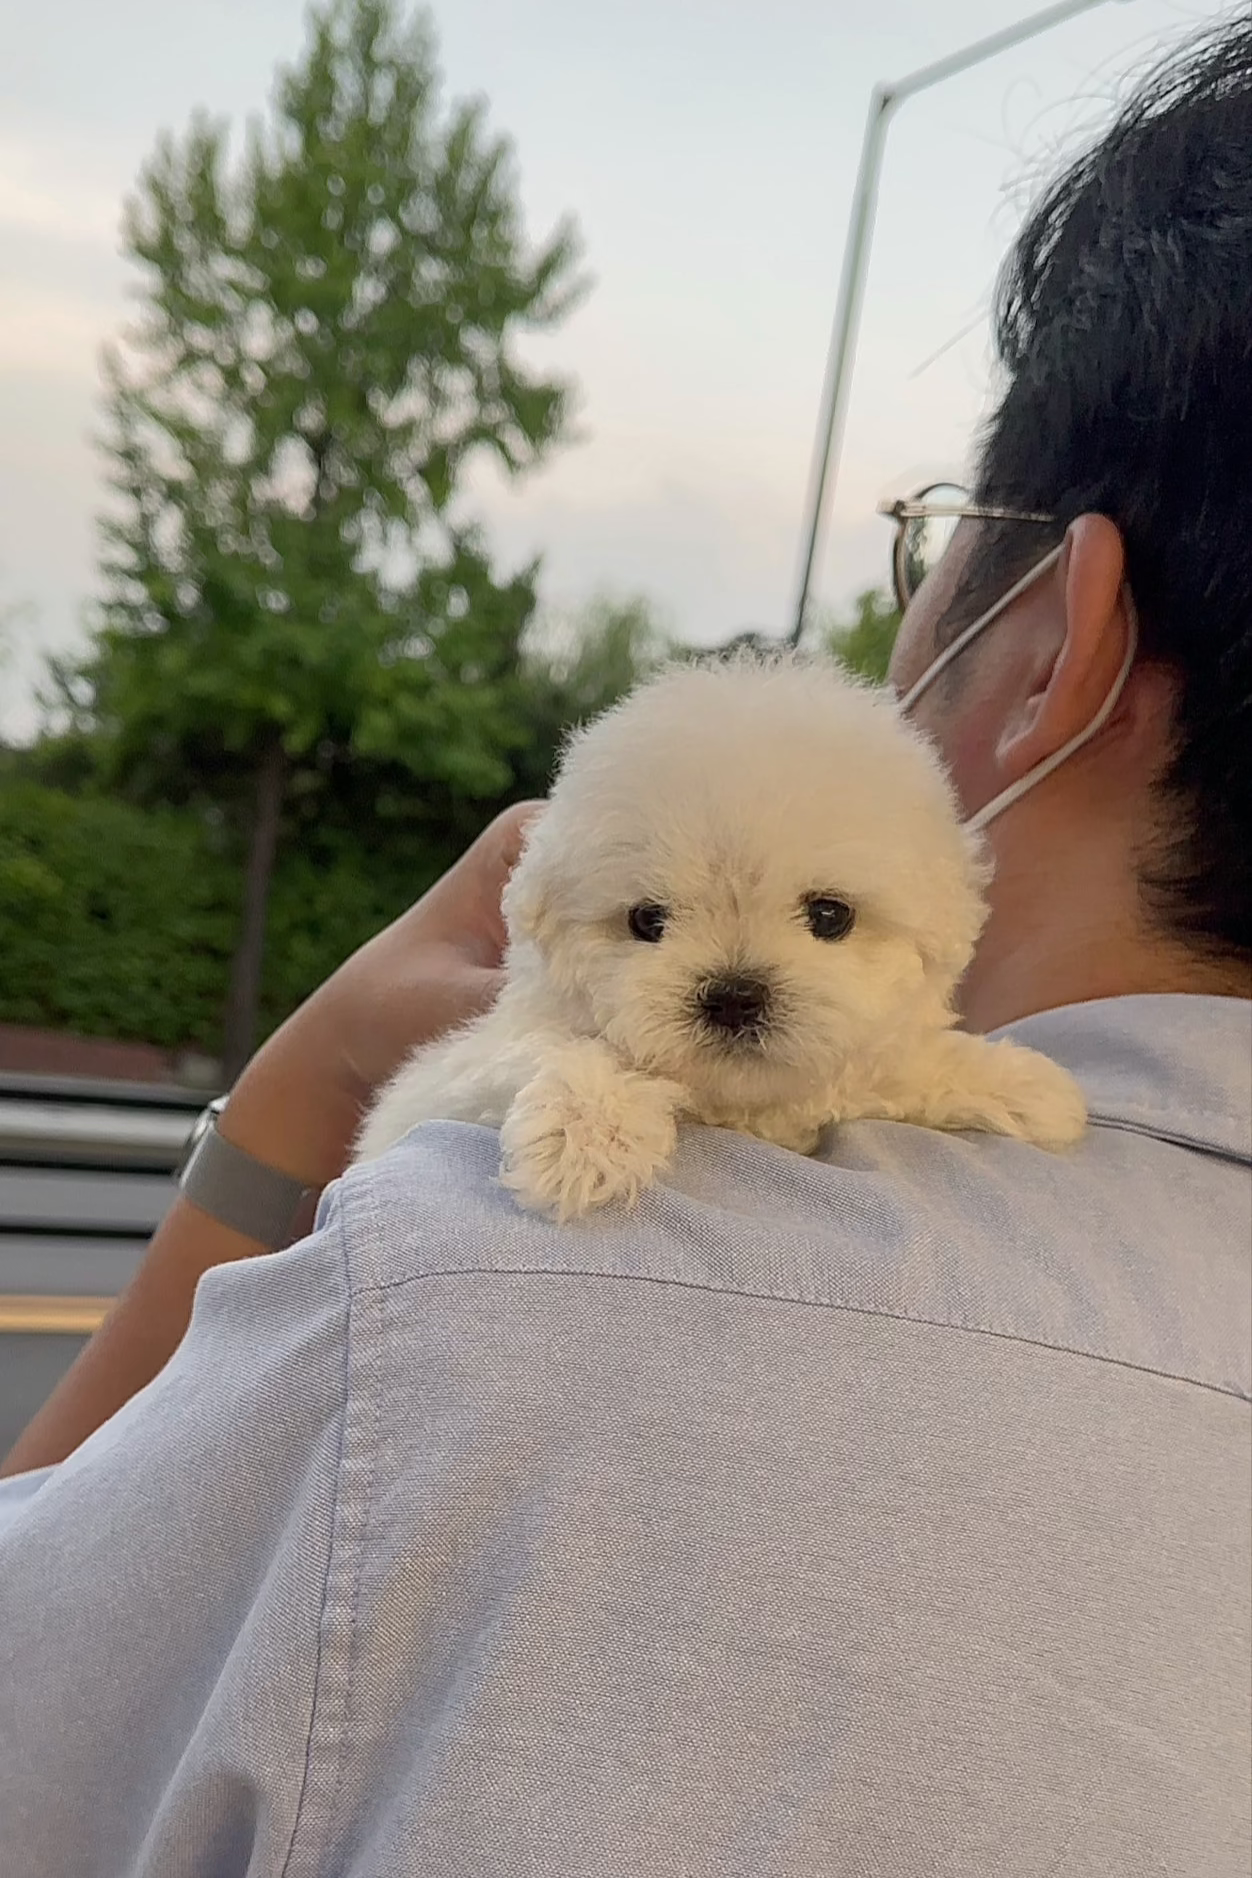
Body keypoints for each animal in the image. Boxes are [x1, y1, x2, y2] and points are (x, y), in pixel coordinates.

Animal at [354, 657, 1088, 1216]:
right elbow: (565, 1047)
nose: (735, 995)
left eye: (830, 916)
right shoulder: (464, 1070)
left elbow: (910, 1065)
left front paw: (1034, 1090)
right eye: (647, 921)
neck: (742, 1107)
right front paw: (586, 1136)